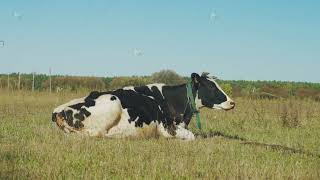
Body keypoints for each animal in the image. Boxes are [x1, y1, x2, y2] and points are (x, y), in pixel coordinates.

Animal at [51, 72, 234, 140]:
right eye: (211, 87)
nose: (232, 102)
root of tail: (57, 111)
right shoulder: (166, 127)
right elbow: (192, 136)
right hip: (112, 102)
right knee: (98, 134)